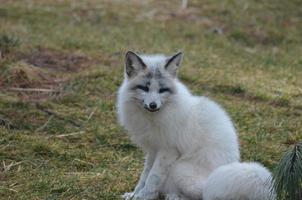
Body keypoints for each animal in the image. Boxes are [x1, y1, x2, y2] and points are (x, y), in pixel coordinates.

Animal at [117, 50, 274, 199]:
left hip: (179, 169)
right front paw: (134, 194)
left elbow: (153, 177)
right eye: (144, 88)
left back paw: (176, 197)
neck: (154, 117)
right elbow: (145, 175)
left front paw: (142, 197)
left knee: (203, 195)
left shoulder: (168, 150)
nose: (153, 105)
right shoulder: (153, 149)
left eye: (162, 90)